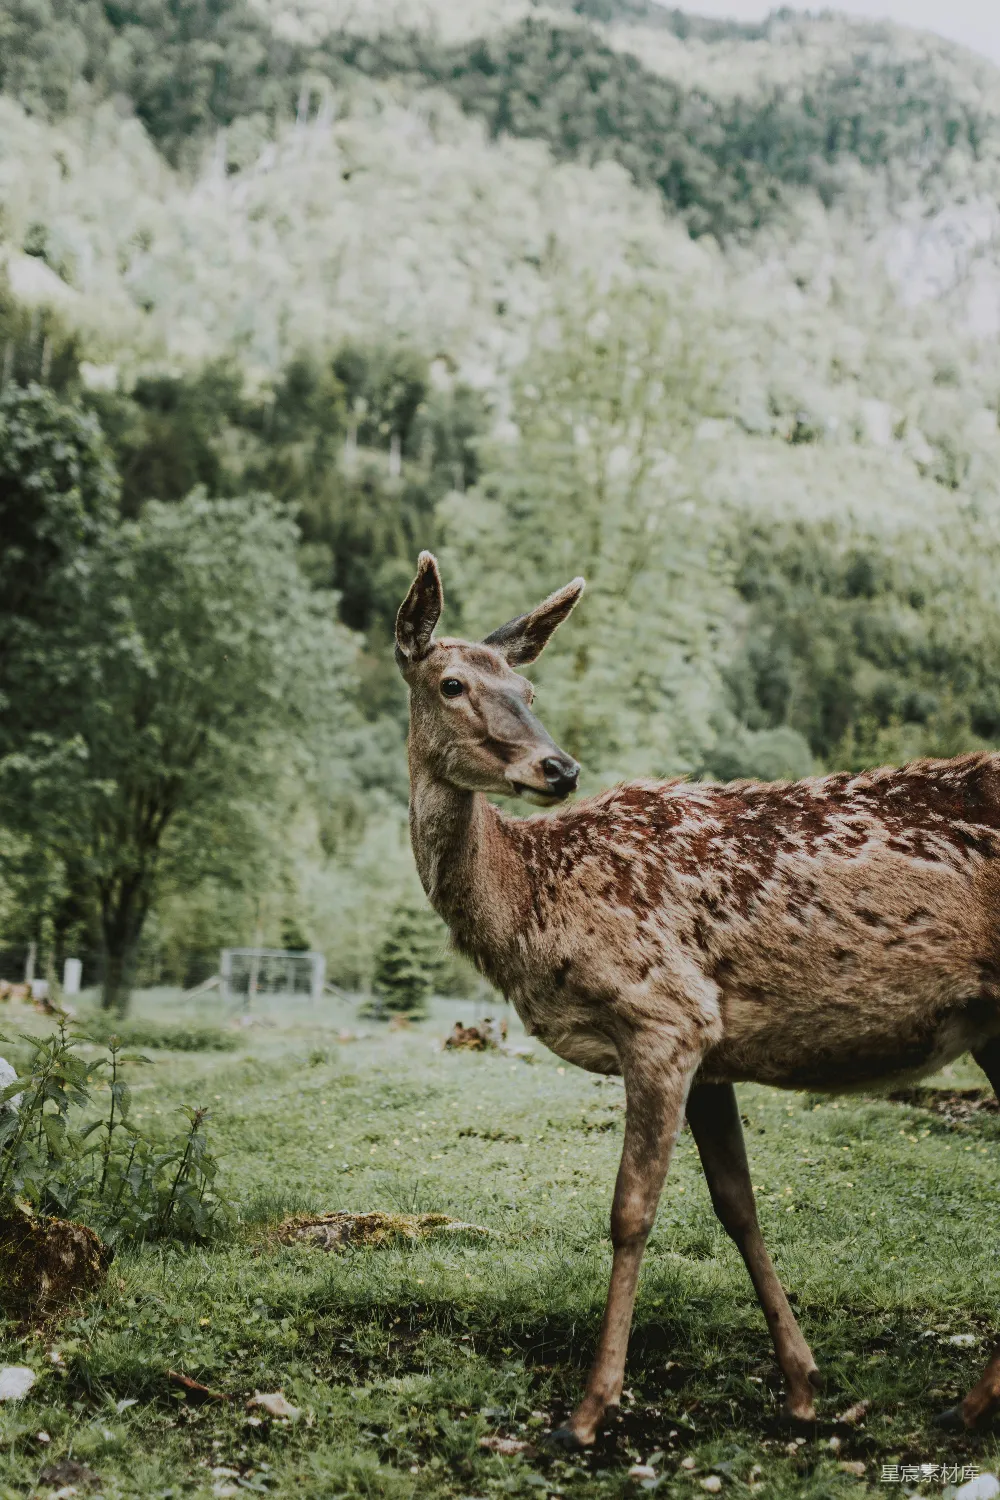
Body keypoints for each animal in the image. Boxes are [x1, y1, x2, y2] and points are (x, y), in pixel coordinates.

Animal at [395, 550, 1000, 1447]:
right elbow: (737, 1204)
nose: (559, 768)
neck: (534, 904)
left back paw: (968, 1402)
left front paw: (589, 1409)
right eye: (451, 684)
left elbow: (631, 1210)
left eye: (528, 688)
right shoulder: (713, 1049)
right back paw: (969, 1401)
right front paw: (801, 1385)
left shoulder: (663, 1012)